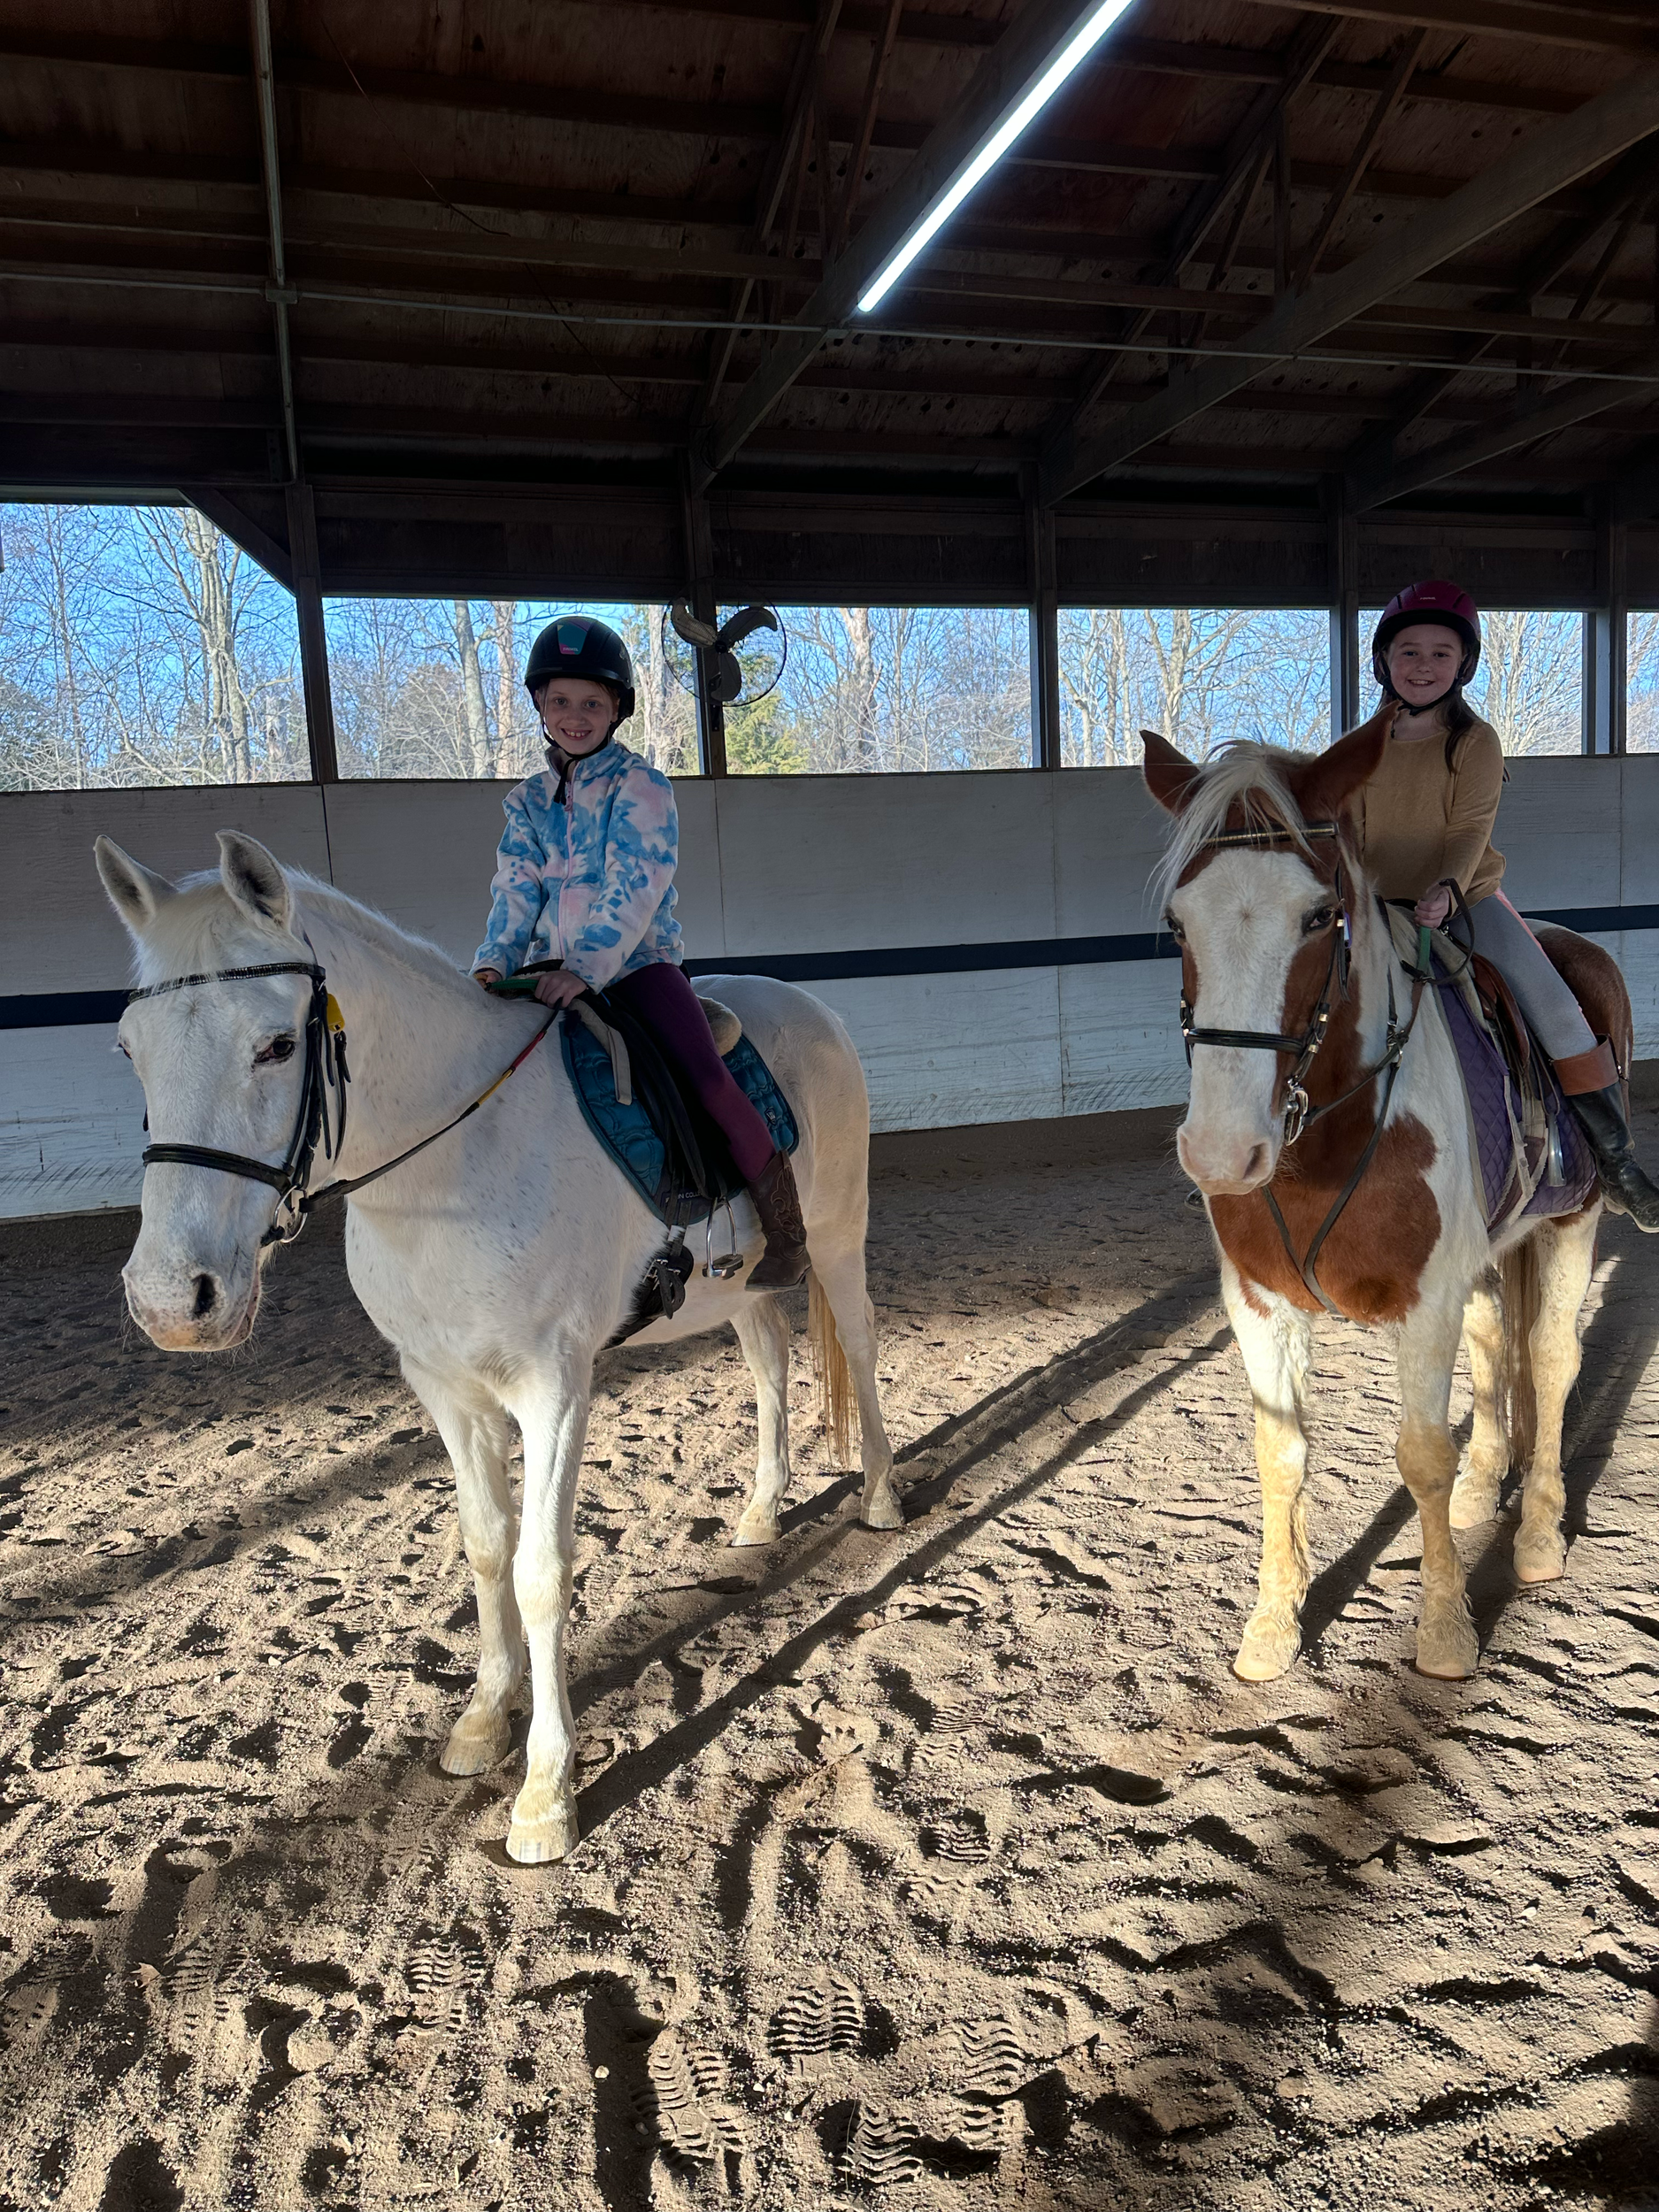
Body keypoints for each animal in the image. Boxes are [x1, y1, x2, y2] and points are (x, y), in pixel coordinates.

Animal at [94, 830, 900, 1863]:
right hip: (743, 1285)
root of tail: (807, 1005)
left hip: (837, 1237)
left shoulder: (553, 1389)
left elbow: (542, 1571)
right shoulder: (445, 1389)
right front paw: (482, 1721)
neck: (453, 1162)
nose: (172, 1302)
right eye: (130, 1049)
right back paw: (762, 1512)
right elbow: (484, 1549)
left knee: (862, 1347)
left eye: (275, 1044)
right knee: (767, 1361)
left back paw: (880, 1497)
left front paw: (546, 1792)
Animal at [1142, 707, 1626, 1684]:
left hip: (1571, 1220)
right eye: (1177, 921)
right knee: (1498, 1347)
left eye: (1319, 915)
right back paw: (1486, 1492)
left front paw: (1442, 1635)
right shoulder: (1258, 1303)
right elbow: (1281, 1453)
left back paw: (1537, 1538)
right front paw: (1271, 1629)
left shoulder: (1424, 1302)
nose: (1220, 1152)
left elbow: (1421, 1456)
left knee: (1551, 1359)